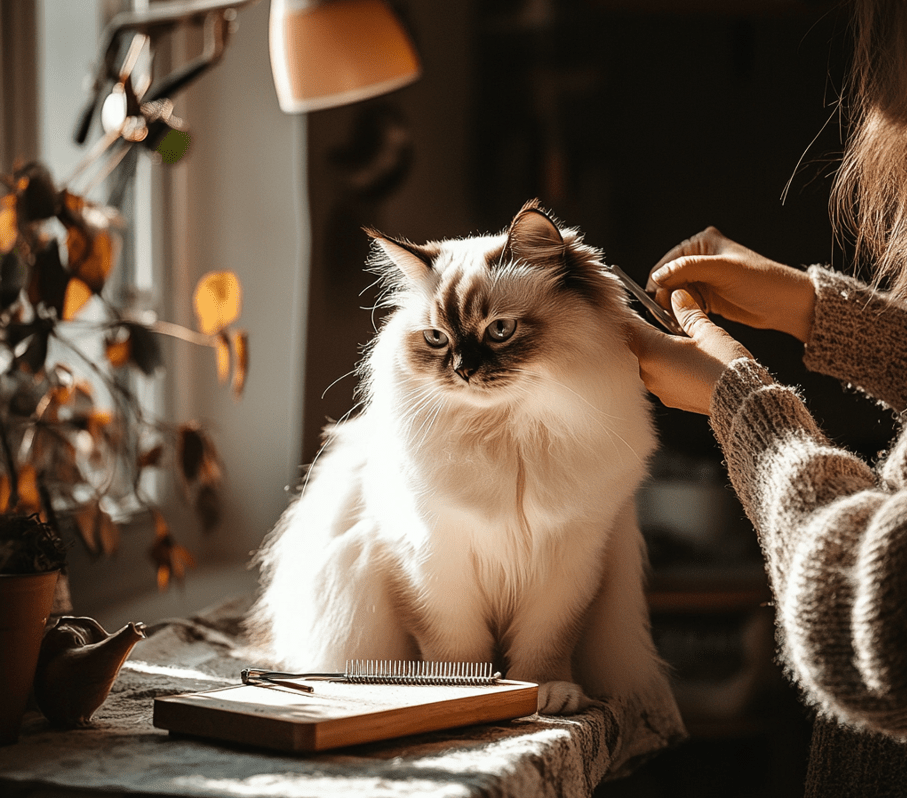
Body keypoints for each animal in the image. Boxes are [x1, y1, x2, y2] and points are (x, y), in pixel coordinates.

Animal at [248, 203, 672, 716]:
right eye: (436, 338)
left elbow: (545, 644)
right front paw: (464, 690)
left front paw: (545, 693)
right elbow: (456, 648)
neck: (506, 435)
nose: (462, 369)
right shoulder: (432, 563)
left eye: (500, 330)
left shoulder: (570, 561)